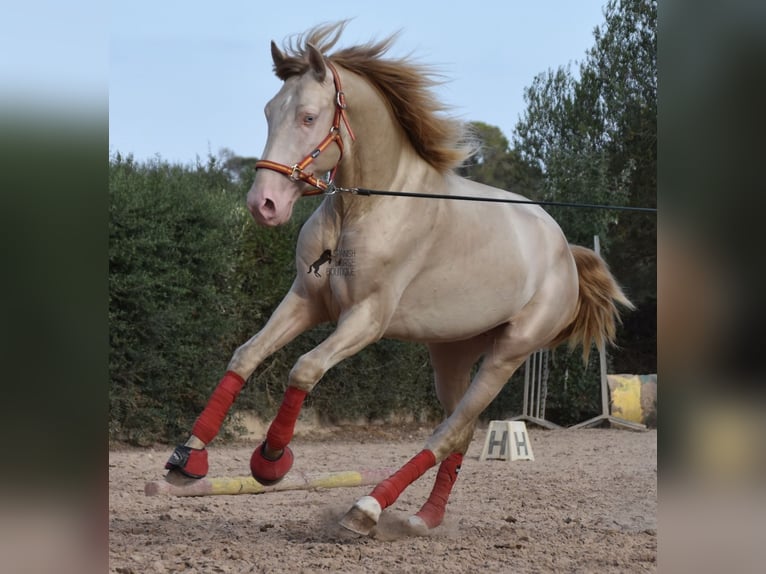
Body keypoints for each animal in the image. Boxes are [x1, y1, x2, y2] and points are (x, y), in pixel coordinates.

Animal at [164, 20, 636, 536]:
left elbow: (304, 367)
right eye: (270, 112)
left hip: (507, 354)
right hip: (451, 356)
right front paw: (187, 461)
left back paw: (367, 508)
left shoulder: (366, 319)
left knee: (447, 433)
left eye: (308, 117)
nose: (263, 204)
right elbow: (246, 356)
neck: (366, 206)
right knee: (459, 435)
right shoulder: (306, 300)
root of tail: (564, 251)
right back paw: (424, 518)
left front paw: (271, 461)